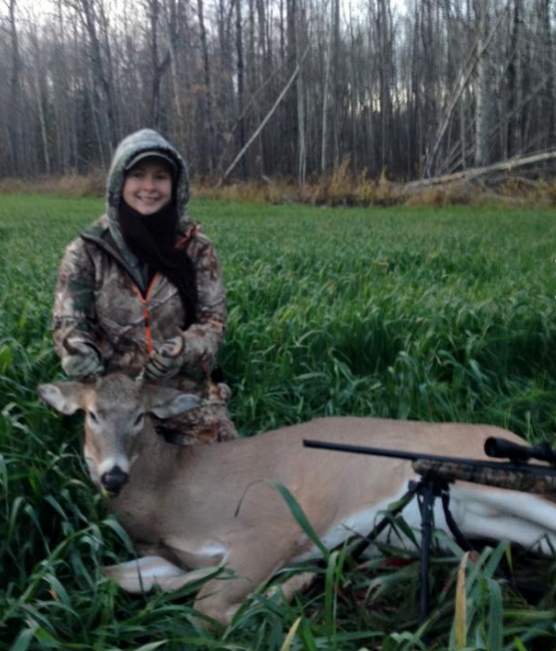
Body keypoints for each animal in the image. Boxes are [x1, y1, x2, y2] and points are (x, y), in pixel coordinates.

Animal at [40, 374, 556, 628]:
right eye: (90, 414)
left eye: (141, 417)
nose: (112, 474)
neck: (173, 490)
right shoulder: (169, 554)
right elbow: (111, 577)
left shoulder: (269, 527)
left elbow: (208, 609)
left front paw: (294, 585)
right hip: (494, 518)